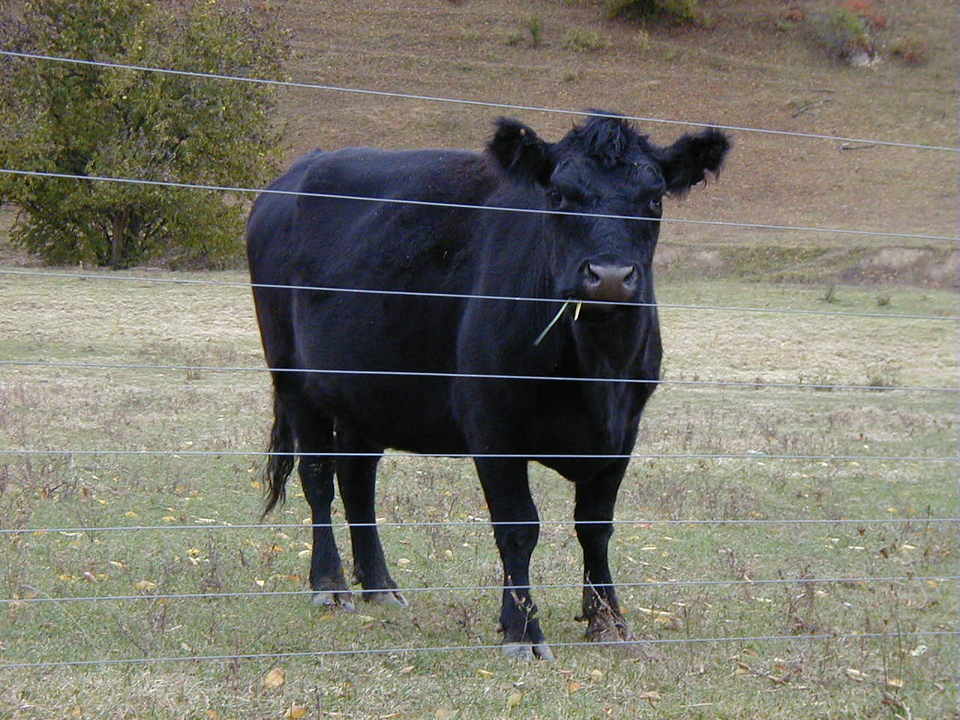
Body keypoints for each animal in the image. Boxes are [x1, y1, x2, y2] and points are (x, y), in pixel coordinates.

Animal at [246, 111, 730, 660]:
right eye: (558, 195)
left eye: (654, 199)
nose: (608, 276)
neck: (596, 372)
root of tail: (290, 178)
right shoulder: (492, 422)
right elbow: (518, 527)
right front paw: (524, 631)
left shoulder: (624, 430)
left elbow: (596, 526)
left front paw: (608, 620)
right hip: (293, 379)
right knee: (318, 478)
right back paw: (330, 585)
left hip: (365, 393)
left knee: (357, 482)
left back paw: (381, 587)